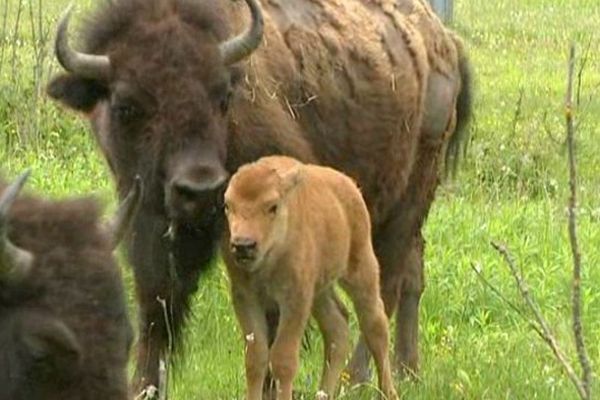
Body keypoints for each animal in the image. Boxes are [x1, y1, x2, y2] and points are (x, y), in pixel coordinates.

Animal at [220, 156, 398, 400]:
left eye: (272, 206)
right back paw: (324, 393)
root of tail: (350, 185)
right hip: (320, 291)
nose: (243, 245)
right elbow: (255, 359)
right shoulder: (245, 297)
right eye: (228, 206)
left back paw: (389, 392)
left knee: (375, 325)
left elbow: (283, 360)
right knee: (337, 328)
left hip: (361, 270)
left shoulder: (295, 299)